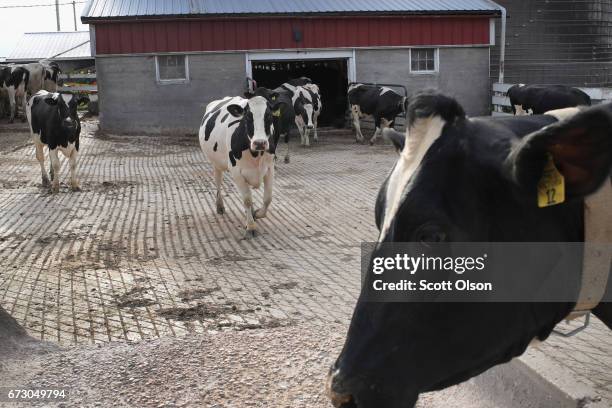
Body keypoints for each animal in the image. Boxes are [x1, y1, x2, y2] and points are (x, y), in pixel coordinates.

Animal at [200, 95, 278, 237]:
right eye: (247, 116)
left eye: (269, 115)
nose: (260, 143)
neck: (256, 155)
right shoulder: (236, 172)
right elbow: (247, 199)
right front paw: (251, 227)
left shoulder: (269, 168)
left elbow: (267, 198)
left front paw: (257, 214)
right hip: (216, 163)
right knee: (218, 181)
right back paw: (220, 206)